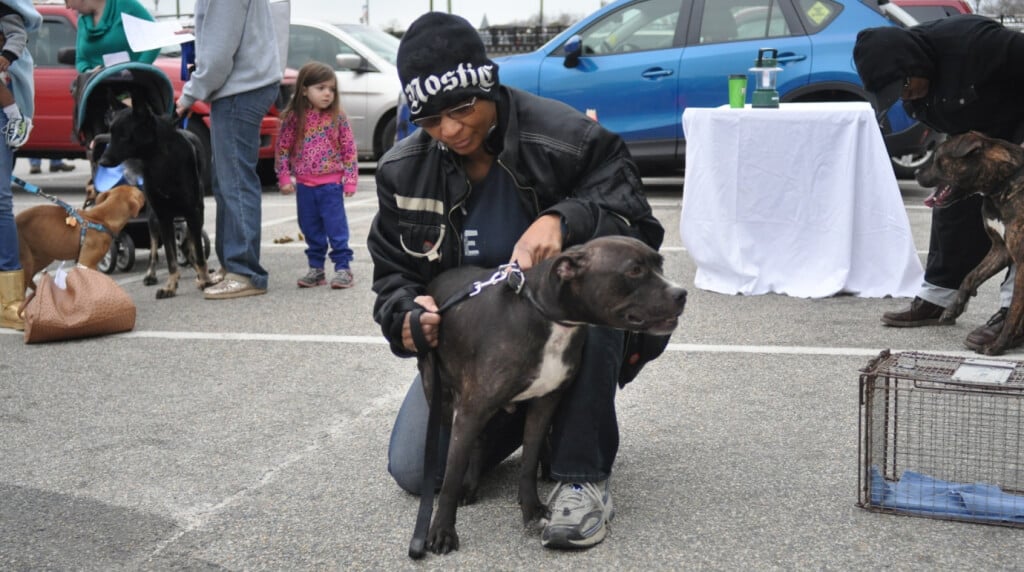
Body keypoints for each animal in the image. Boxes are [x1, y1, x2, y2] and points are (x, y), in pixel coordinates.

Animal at [16, 184, 146, 290]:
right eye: (139, 193)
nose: (143, 190)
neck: (101, 219)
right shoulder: (86, 262)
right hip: (27, 263)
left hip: (44, 256)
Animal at [98, 105, 212, 300]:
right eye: (110, 133)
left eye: (124, 135)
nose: (102, 161)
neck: (161, 160)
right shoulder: (163, 216)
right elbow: (170, 256)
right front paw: (171, 286)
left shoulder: (193, 211)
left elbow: (196, 247)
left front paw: (203, 278)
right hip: (152, 218)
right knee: (153, 251)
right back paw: (151, 274)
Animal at [415, 235, 688, 556]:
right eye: (634, 270)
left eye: (660, 265)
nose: (682, 293)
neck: (547, 317)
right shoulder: (471, 410)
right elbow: (451, 476)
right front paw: (442, 531)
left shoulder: (545, 402)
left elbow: (529, 459)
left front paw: (532, 507)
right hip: (441, 398)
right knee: (476, 442)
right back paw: (470, 485)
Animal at [917, 130, 1024, 354]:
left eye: (938, 157)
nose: (915, 174)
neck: (1004, 182)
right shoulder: (1001, 249)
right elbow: (970, 276)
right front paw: (952, 309)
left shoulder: (1022, 263)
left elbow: (1014, 312)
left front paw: (998, 345)